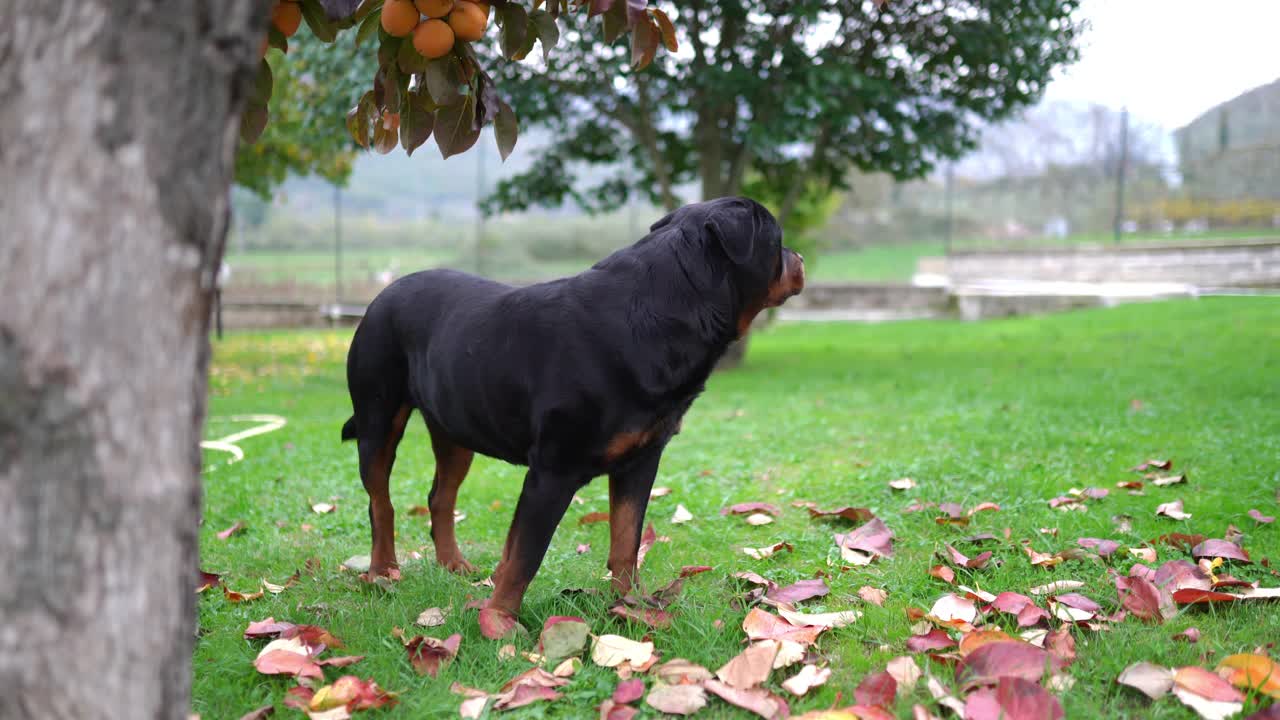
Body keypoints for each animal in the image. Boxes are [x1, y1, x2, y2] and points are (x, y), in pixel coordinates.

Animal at [340, 194, 798, 632]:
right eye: (777, 239)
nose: (798, 258)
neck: (661, 314)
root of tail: (380, 296)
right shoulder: (552, 471)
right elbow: (525, 556)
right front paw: (500, 621)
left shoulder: (641, 460)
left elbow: (626, 540)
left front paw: (631, 606)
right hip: (378, 415)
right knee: (380, 500)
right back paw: (382, 571)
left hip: (454, 428)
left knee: (441, 496)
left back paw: (453, 564)